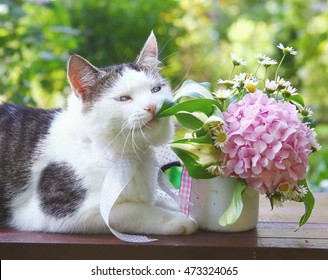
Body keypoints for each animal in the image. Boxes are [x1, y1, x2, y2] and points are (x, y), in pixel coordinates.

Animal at [0, 31, 197, 235]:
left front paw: (175, 206)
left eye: (156, 89)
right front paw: (175, 219)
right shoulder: (53, 211)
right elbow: (132, 210)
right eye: (123, 98)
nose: (152, 106)